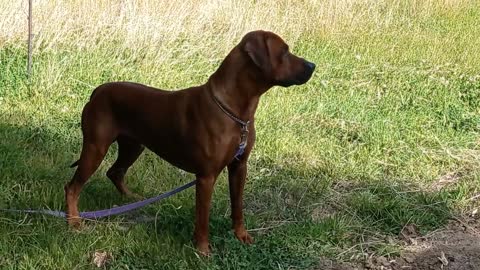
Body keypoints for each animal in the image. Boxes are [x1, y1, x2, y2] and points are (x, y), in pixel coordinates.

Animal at [65, 30, 316, 255]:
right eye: (284, 52)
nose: (313, 65)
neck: (234, 111)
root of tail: (97, 91)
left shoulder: (239, 166)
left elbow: (238, 207)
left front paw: (241, 235)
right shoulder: (206, 177)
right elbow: (202, 218)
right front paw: (203, 250)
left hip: (134, 146)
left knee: (115, 172)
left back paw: (131, 199)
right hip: (96, 148)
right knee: (73, 187)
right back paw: (74, 221)